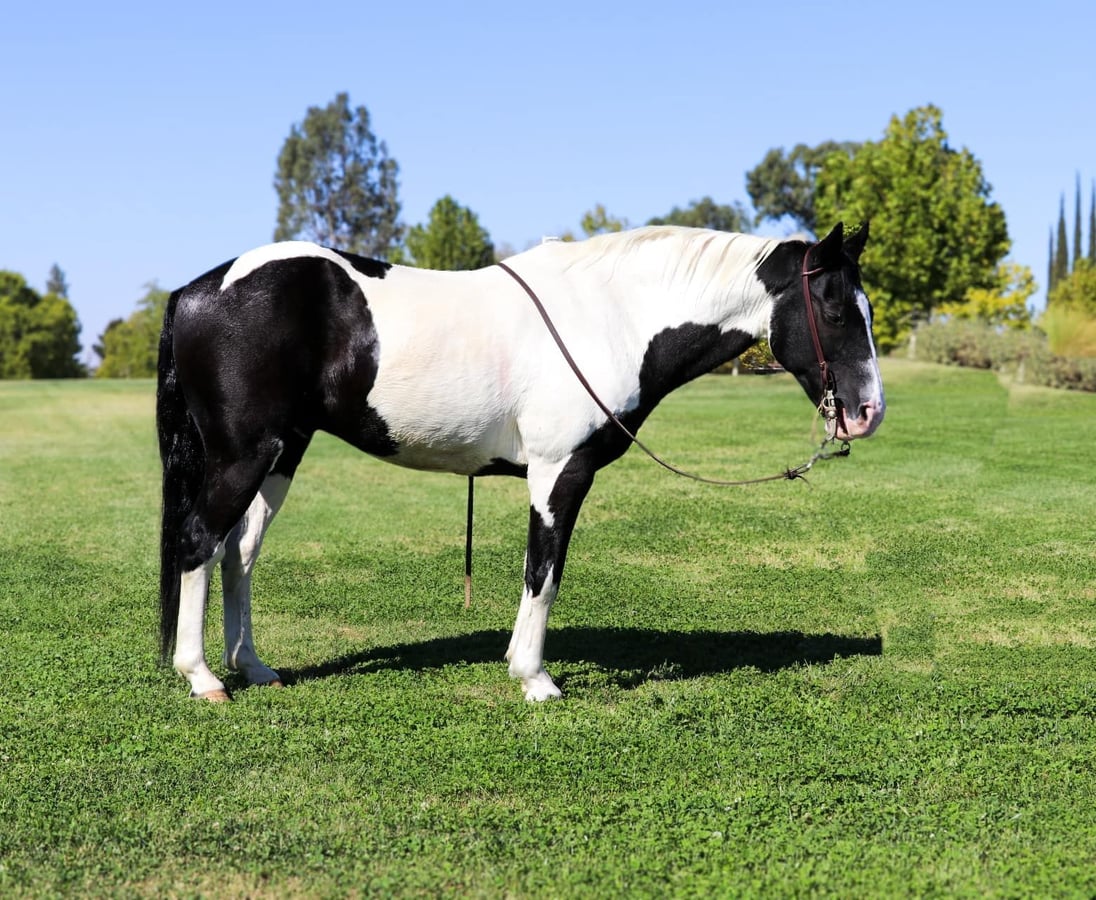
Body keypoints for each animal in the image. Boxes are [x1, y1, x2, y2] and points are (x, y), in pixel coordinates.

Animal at [157, 221, 884, 702]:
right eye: (835, 310)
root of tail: (196, 290)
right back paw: (203, 678)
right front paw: (535, 679)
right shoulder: (560, 471)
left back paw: (253, 667)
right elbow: (544, 571)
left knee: (238, 552)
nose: (867, 411)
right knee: (199, 541)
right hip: (244, 455)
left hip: (281, 454)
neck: (613, 317)